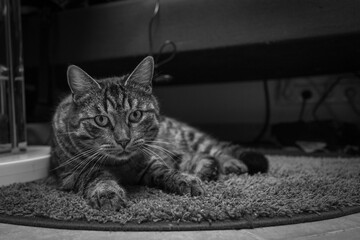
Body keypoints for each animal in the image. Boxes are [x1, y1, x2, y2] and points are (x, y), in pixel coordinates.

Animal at [52, 56, 268, 210]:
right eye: (101, 120)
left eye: (136, 115)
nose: (123, 140)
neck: (121, 165)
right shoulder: (73, 172)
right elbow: (97, 176)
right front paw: (107, 192)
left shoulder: (150, 160)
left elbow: (165, 171)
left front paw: (184, 179)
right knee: (200, 156)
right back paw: (206, 169)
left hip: (184, 140)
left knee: (213, 150)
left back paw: (230, 164)